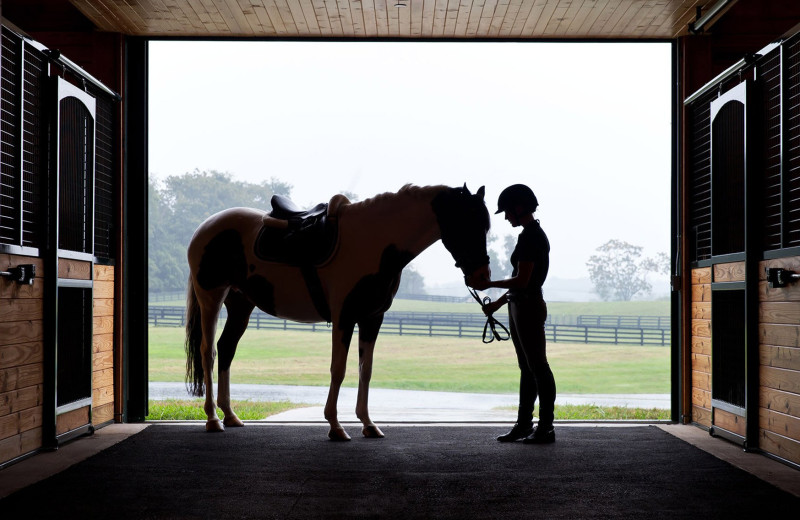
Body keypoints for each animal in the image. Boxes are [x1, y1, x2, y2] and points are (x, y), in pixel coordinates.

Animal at [184, 183, 490, 438]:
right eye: (467, 223)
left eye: (485, 226)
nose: (482, 277)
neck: (374, 241)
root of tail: (206, 227)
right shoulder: (344, 317)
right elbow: (338, 369)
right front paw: (335, 425)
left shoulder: (372, 319)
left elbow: (365, 370)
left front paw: (368, 424)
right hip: (211, 299)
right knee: (208, 352)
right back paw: (213, 419)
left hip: (240, 305)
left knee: (226, 349)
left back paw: (230, 415)